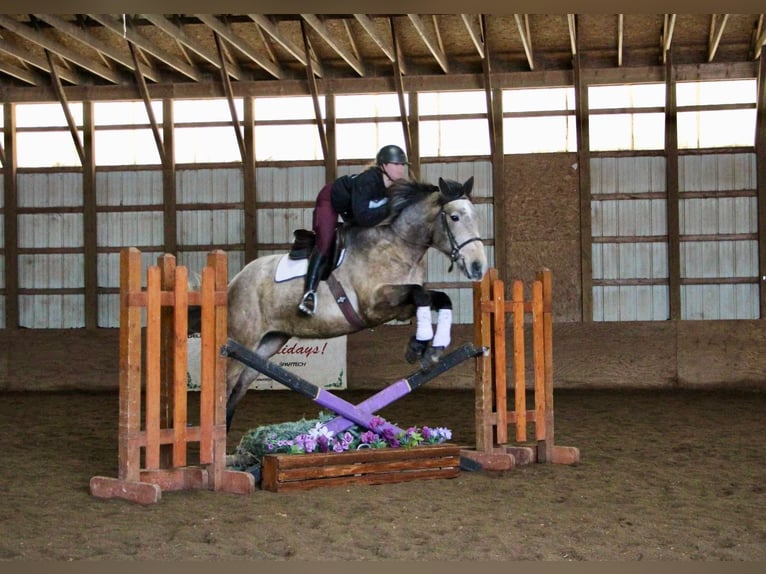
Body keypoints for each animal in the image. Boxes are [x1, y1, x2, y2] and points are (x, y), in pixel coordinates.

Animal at [222, 178, 488, 430]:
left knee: (237, 389)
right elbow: (420, 294)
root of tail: (234, 281)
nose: (478, 267)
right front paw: (418, 346)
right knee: (226, 386)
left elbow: (440, 298)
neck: (398, 246)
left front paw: (432, 349)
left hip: (266, 344)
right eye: (454, 217)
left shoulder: (400, 307)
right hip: (241, 341)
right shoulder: (373, 305)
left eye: (476, 217)